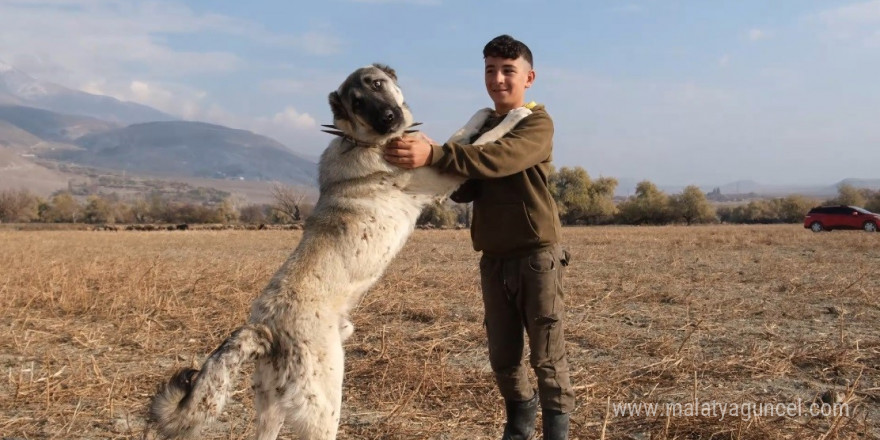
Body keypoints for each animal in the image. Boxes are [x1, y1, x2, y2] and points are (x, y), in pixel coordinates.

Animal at [148, 63, 532, 438]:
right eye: (357, 104)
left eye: (377, 84)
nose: (389, 118)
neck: (363, 140)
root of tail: (265, 328)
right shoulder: (441, 176)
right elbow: (481, 142)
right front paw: (516, 114)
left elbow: (463, 134)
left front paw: (486, 111)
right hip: (324, 405)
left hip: (270, 407)